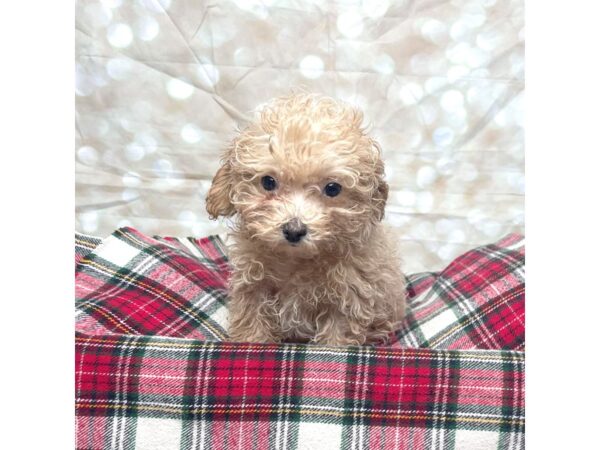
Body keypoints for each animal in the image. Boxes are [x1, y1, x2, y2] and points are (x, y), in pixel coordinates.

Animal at [206, 91, 408, 344]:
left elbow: (335, 340)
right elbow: (252, 324)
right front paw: (250, 343)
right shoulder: (253, 286)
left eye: (332, 188)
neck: (297, 261)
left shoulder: (349, 298)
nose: (294, 231)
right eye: (268, 182)